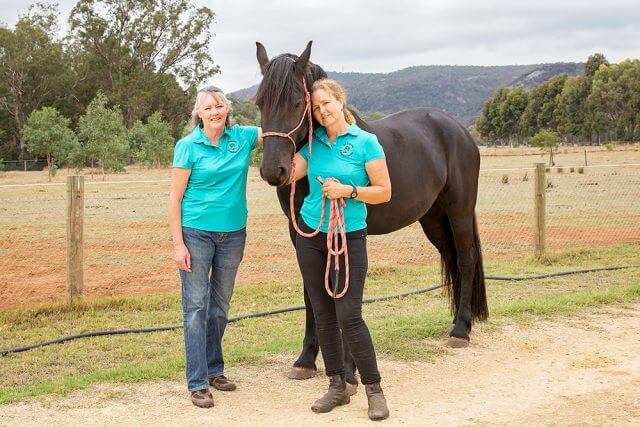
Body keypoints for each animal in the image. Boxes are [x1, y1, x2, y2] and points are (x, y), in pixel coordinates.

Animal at [252, 41, 488, 382]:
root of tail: (457, 129)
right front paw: (306, 359)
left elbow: (341, 289)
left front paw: (348, 366)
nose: (274, 170)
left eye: (297, 103)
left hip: (459, 210)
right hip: (433, 219)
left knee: (466, 259)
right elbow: (313, 291)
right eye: (260, 104)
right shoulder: (302, 234)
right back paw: (460, 321)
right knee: (453, 258)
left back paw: (460, 331)